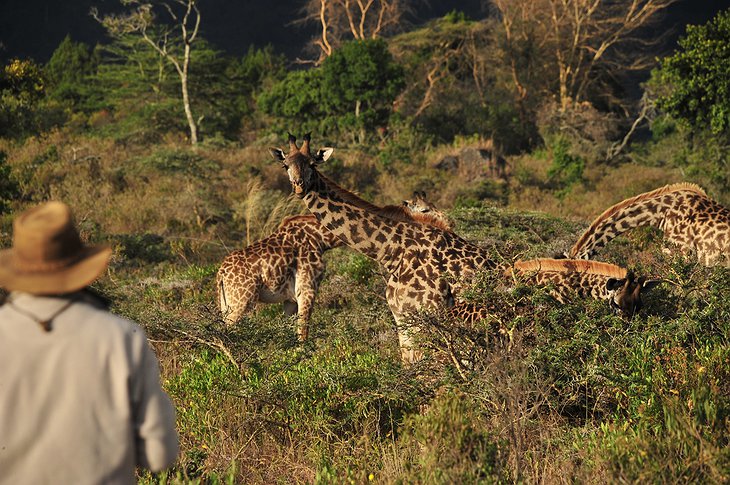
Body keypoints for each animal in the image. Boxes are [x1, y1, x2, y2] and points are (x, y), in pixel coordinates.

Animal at [270, 134, 498, 362]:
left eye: (312, 164)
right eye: (285, 165)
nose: (299, 187)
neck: (393, 250)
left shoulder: (430, 312)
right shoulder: (402, 318)